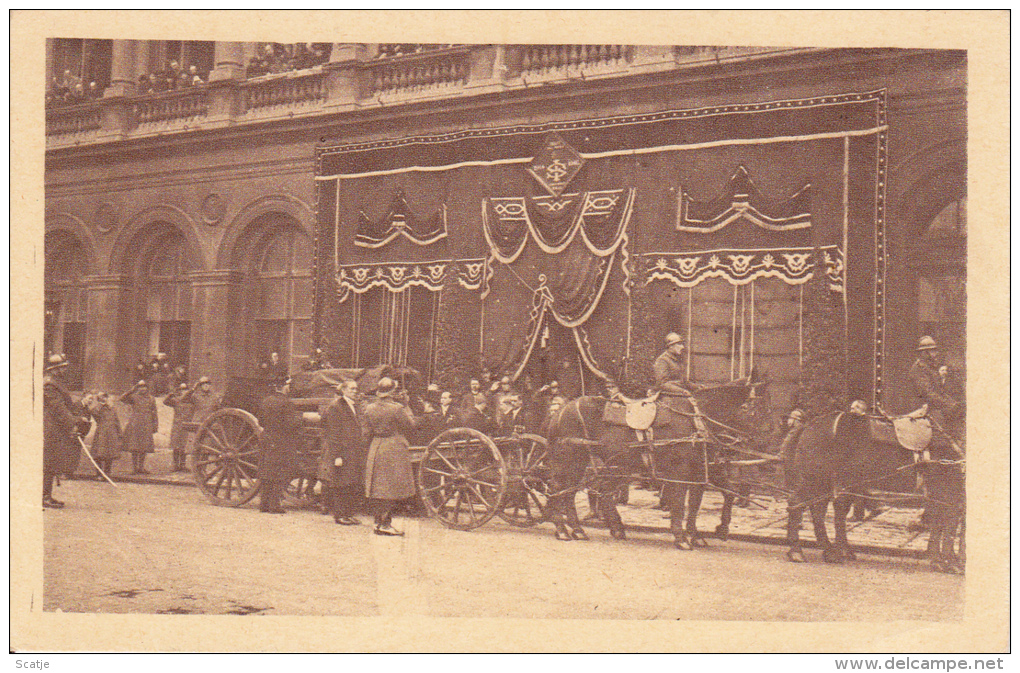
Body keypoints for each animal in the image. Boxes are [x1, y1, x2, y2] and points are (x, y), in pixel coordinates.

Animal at [546, 375, 767, 550]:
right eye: (752, 408)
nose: (762, 443)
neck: (696, 419)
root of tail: (561, 410)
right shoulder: (680, 472)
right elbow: (679, 504)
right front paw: (681, 538)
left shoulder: (702, 471)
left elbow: (712, 499)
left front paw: (712, 531)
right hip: (571, 458)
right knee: (558, 488)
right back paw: (562, 529)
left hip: (604, 464)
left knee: (582, 492)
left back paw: (588, 529)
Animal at [783, 407, 966, 571]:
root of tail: (809, 425)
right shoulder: (948, 494)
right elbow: (947, 527)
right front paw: (948, 562)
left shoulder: (947, 496)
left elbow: (944, 526)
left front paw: (947, 560)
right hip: (814, 479)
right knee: (797, 504)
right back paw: (797, 551)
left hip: (831, 483)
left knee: (820, 512)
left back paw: (832, 552)